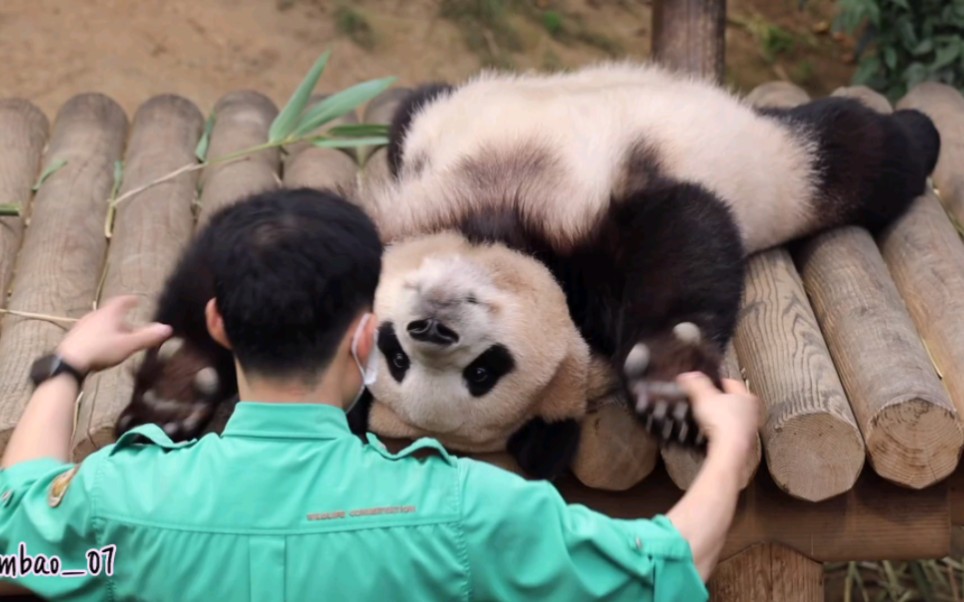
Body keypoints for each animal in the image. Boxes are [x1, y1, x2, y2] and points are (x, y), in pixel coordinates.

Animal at [115, 59, 940, 482]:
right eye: (392, 354)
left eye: (484, 372)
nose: (431, 324)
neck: (487, 230)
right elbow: (247, 240)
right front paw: (176, 385)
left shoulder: (580, 252)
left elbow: (683, 225)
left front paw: (670, 381)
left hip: (776, 167)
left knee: (855, 153)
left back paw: (921, 132)